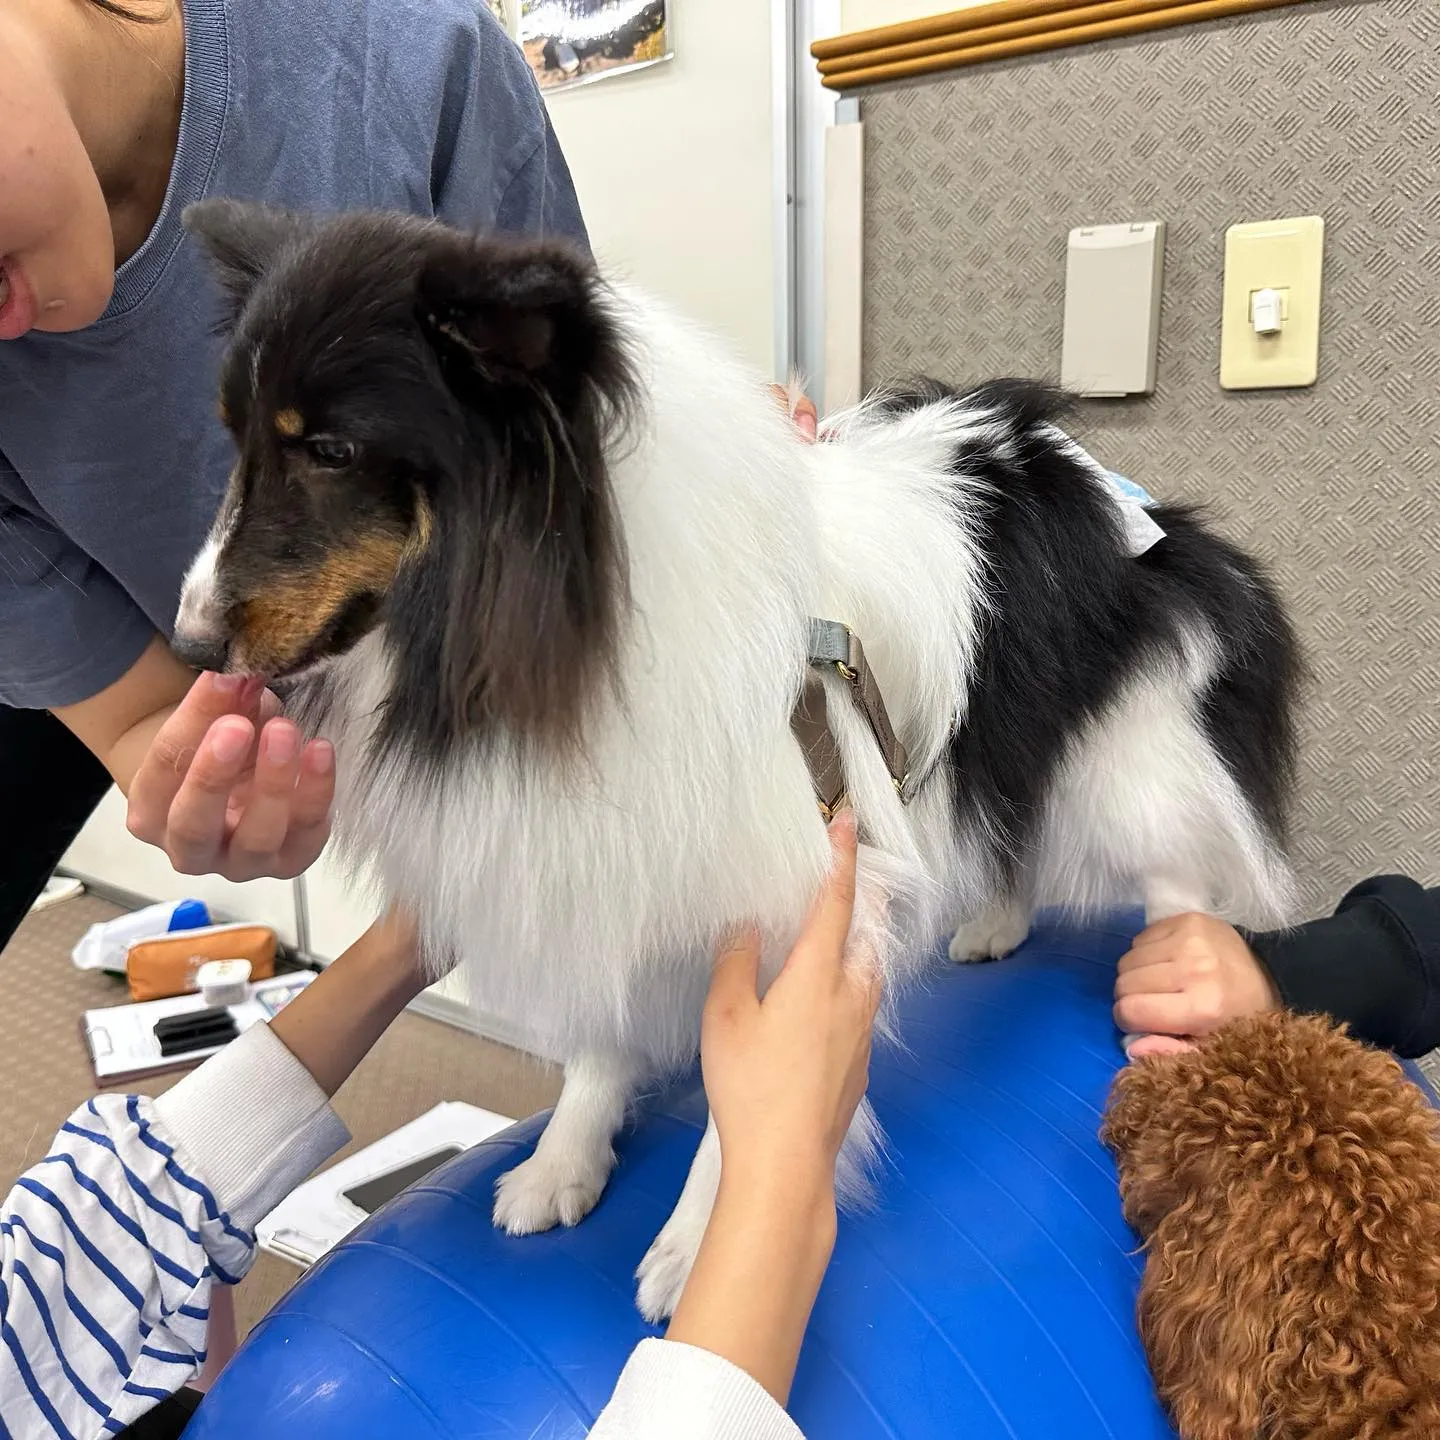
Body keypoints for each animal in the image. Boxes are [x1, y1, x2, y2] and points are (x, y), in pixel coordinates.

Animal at [174, 200, 1301, 1319]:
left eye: (330, 450)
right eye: (232, 439)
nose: (187, 646)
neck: (574, 625)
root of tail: (1074, 460)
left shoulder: (796, 892)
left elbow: (745, 1092)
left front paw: (698, 1243)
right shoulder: (604, 865)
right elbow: (600, 1040)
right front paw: (565, 1161)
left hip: (1129, 750)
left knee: (1175, 870)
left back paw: (1172, 986)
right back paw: (995, 924)